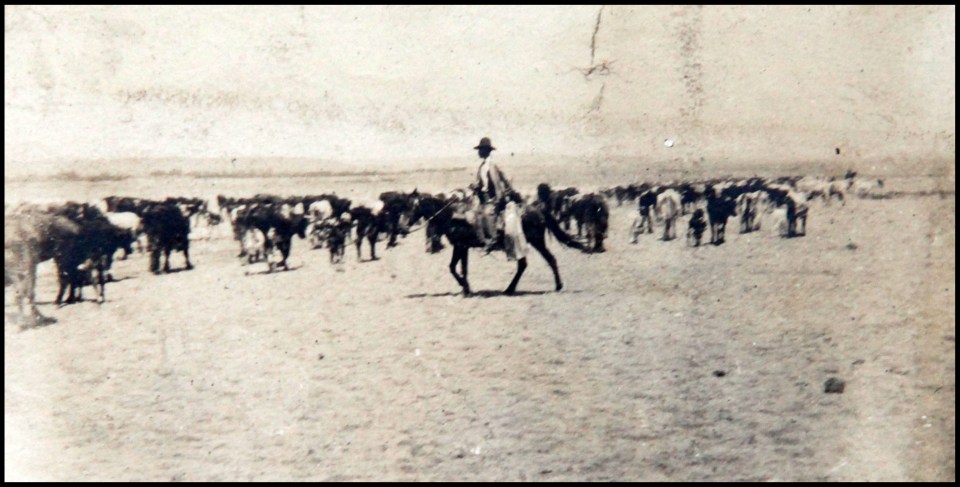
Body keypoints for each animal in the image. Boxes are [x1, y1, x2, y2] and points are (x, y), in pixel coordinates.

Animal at [406, 193, 588, 296]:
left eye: (411, 209)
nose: (404, 227)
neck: (452, 216)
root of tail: (538, 209)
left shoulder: (461, 246)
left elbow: (459, 268)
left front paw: (466, 288)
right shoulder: (461, 247)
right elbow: (455, 267)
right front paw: (466, 287)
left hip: (536, 241)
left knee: (548, 259)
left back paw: (556, 286)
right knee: (526, 264)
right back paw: (511, 289)